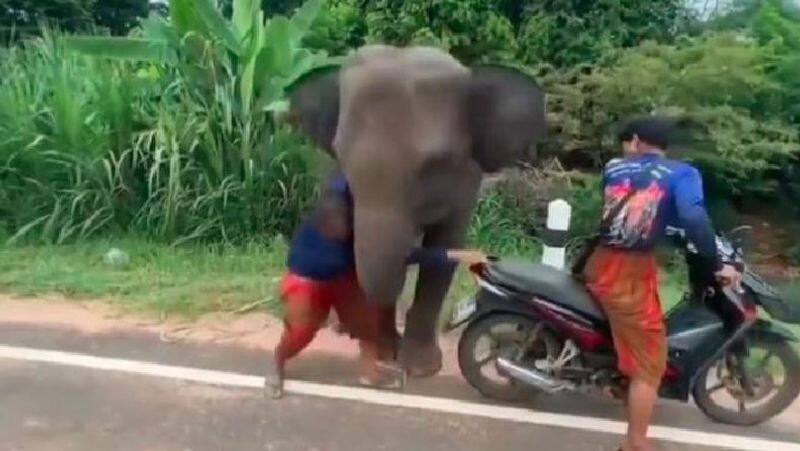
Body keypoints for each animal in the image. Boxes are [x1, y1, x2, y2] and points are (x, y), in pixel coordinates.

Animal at [284, 46, 548, 378]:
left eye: (433, 164)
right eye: (341, 153)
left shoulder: (465, 182)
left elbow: (444, 251)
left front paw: (421, 367)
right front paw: (386, 354)